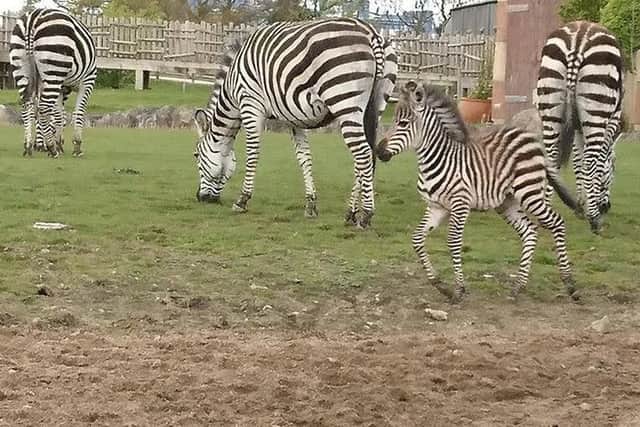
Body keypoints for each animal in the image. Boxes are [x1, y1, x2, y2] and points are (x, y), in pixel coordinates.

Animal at [10, 8, 97, 157]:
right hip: (54, 68)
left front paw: (58, 143)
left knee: (28, 107)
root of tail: (32, 18)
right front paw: (76, 146)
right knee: (44, 108)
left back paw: (29, 146)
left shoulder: (60, 87)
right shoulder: (88, 80)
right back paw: (51, 148)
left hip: (23, 68)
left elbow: (59, 115)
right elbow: (78, 112)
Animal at [192, 18, 397, 228]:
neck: (232, 90)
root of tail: (370, 32)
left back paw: (366, 215)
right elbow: (304, 158)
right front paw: (311, 206)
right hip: (376, 105)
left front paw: (242, 200)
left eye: (196, 155)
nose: (200, 198)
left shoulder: (250, 104)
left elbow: (253, 153)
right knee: (366, 156)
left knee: (363, 154)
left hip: (344, 101)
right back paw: (351, 213)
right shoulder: (294, 118)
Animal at [376, 82, 580, 303]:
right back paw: (518, 286)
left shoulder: (460, 206)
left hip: (530, 193)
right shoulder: (436, 207)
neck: (437, 160)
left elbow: (453, 242)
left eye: (404, 123)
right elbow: (417, 239)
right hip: (507, 203)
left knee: (557, 222)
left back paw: (570, 285)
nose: (378, 152)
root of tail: (531, 140)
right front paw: (439, 284)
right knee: (530, 232)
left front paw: (458, 289)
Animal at [536, 20, 623, 233]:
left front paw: (580, 205)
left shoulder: (576, 128)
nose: (607, 207)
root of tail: (578, 39)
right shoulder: (611, 121)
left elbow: (578, 163)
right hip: (597, 107)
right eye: (613, 169)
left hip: (550, 107)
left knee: (551, 158)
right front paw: (589, 208)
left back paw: (545, 213)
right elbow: (595, 163)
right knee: (591, 160)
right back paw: (594, 221)